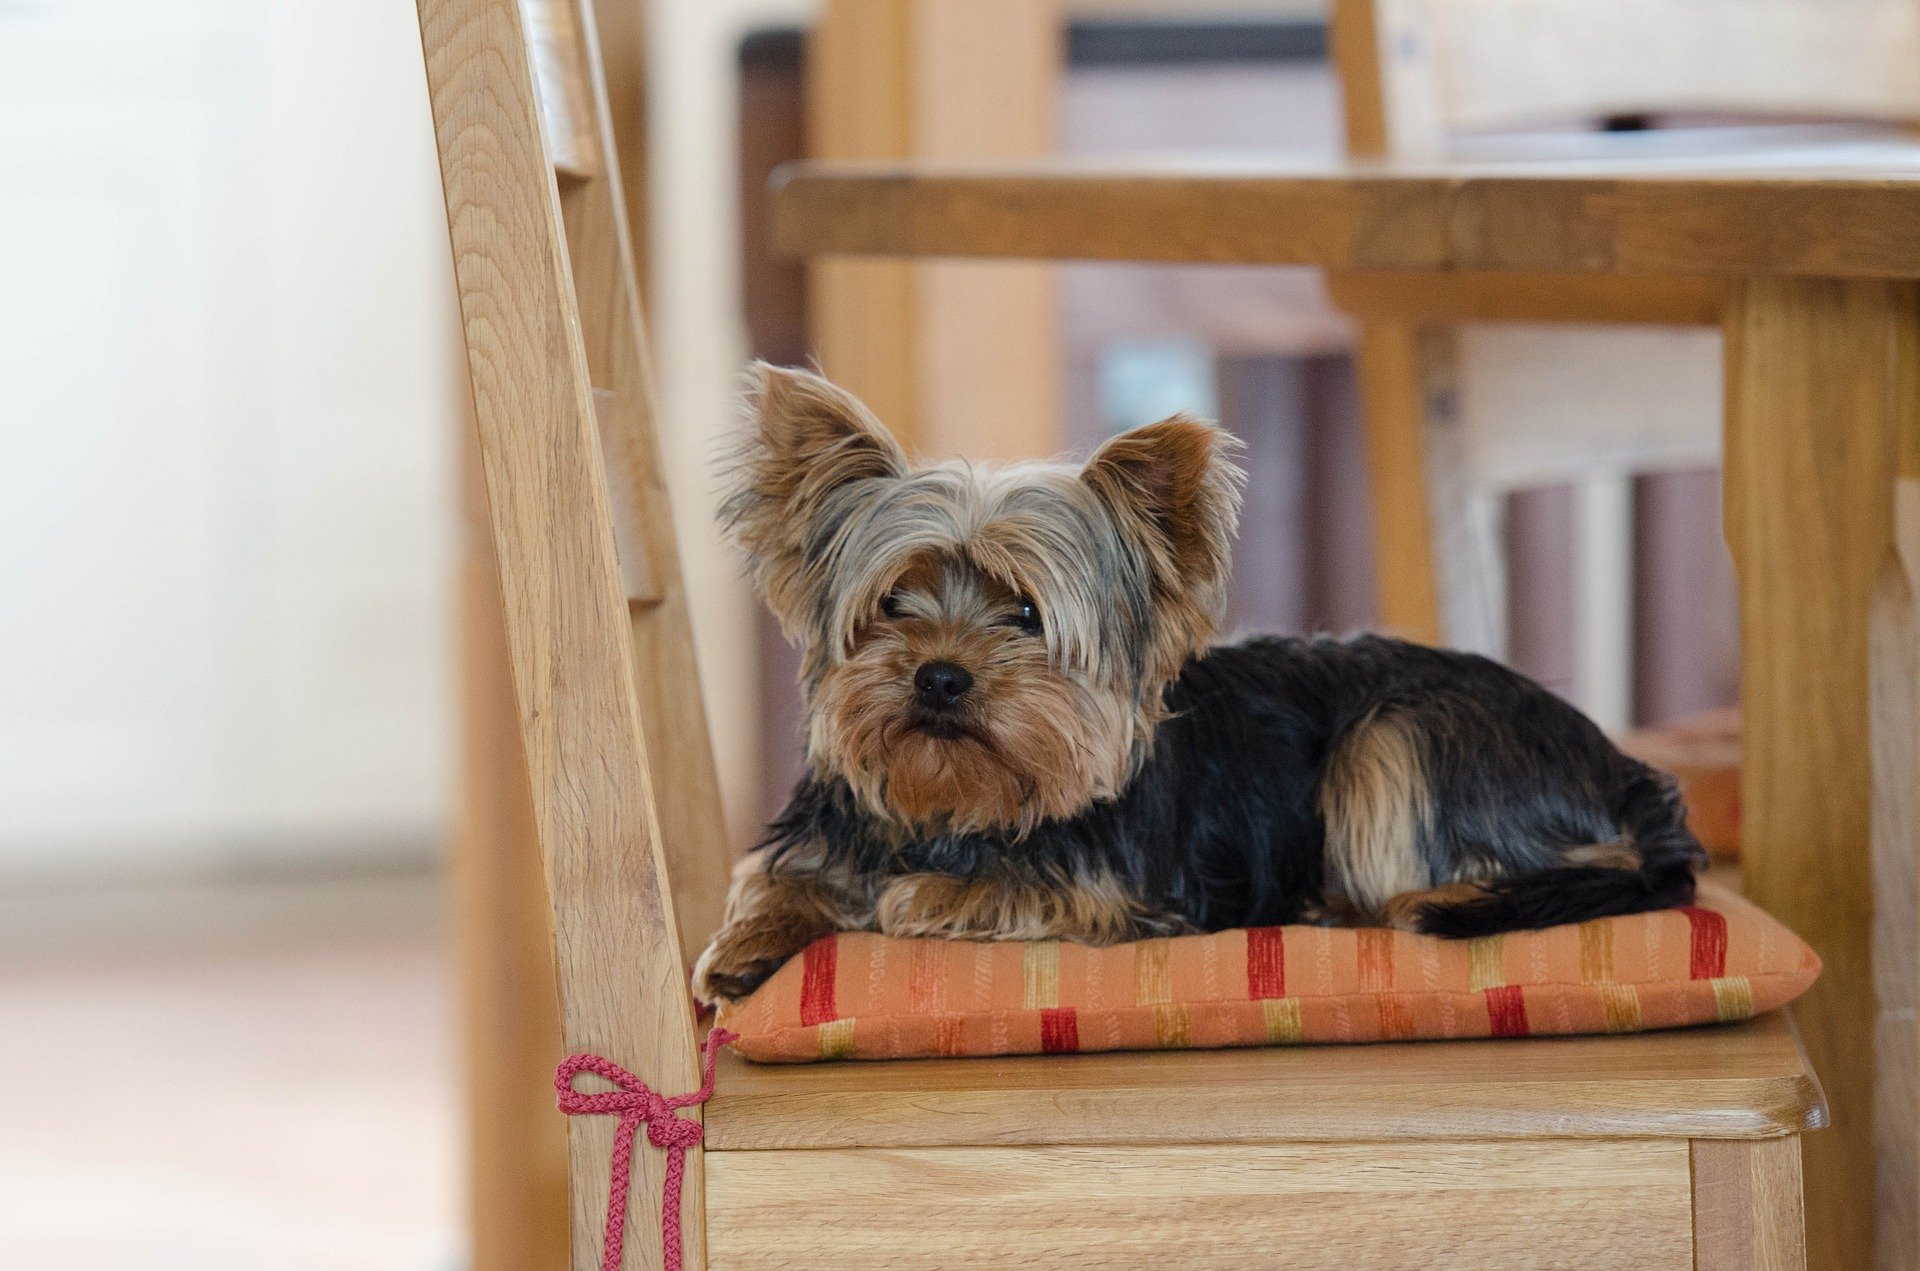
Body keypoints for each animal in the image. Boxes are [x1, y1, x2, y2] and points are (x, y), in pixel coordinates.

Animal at [687, 366, 1697, 1006]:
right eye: (893, 601)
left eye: (1027, 615)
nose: (940, 677)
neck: (956, 806)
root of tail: (1620, 766)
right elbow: (773, 880)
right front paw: (743, 946)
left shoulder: (1124, 895)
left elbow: (984, 892)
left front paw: (922, 896)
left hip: (1400, 740)